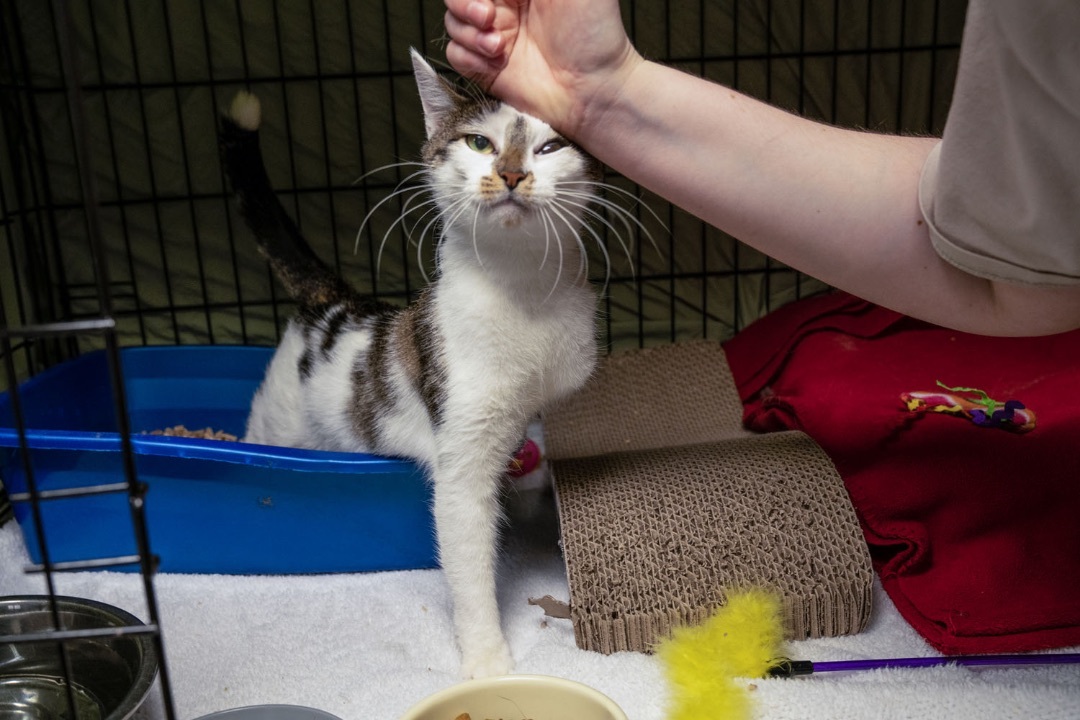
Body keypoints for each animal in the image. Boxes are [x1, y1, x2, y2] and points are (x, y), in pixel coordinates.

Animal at [219, 50, 604, 682]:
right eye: (479, 142)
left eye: (549, 148)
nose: (513, 174)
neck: (524, 295)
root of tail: (336, 301)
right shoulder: (461, 453)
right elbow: (468, 558)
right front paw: (489, 665)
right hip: (278, 421)